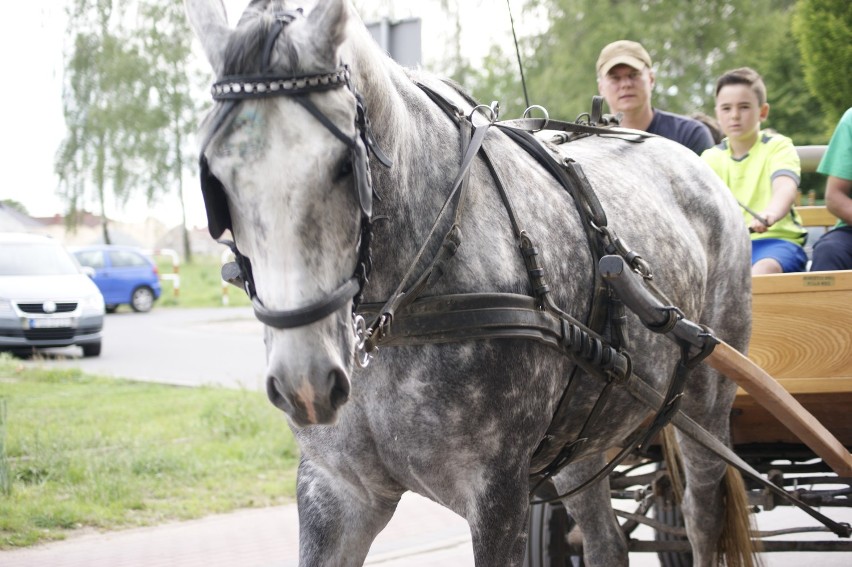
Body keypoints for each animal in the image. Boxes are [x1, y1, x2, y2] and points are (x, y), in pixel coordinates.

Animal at [185, 1, 752, 567]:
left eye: (345, 165)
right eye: (216, 179)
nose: (303, 380)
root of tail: (698, 166)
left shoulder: (499, 492)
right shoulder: (336, 489)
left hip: (706, 401)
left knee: (702, 514)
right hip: (582, 429)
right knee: (605, 537)